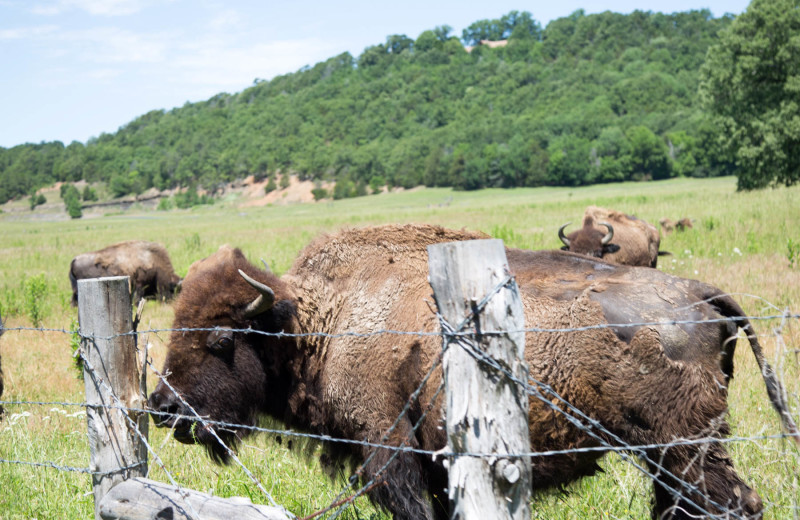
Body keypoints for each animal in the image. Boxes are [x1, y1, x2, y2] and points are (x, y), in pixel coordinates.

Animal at [148, 224, 792, 520]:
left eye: (222, 337)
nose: (162, 407)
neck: (316, 322)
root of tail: (701, 293)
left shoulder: (389, 453)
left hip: (685, 447)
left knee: (733, 503)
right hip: (666, 454)